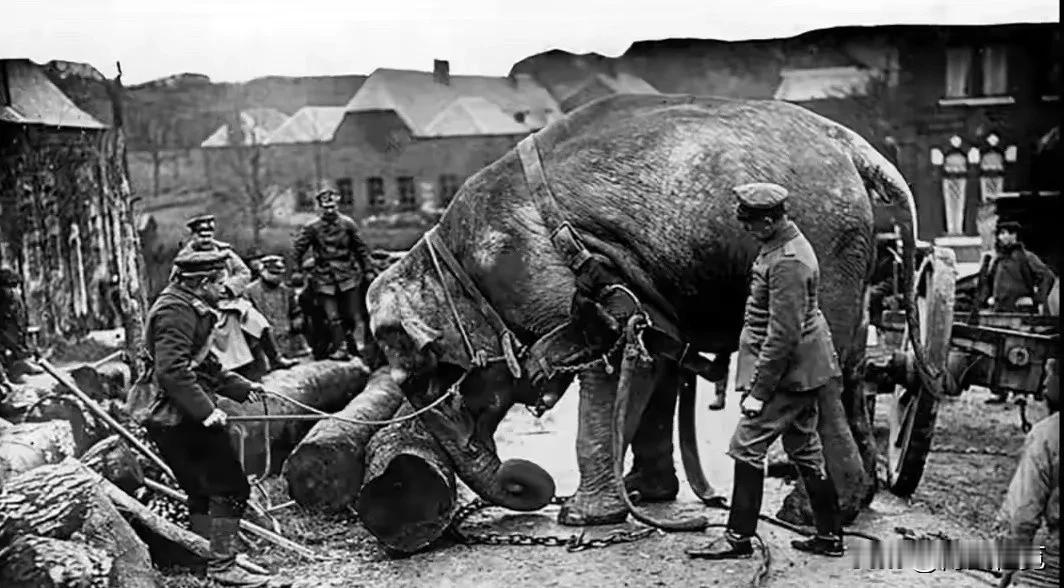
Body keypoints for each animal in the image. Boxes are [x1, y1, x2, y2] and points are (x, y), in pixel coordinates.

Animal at [363, 93, 923, 527]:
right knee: (851, 364)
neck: (448, 258)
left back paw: (810, 513)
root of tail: (853, 146)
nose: (528, 485)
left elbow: (608, 357)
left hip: (822, 242)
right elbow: (658, 350)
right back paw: (854, 501)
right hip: (849, 256)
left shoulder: (553, 276)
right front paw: (643, 493)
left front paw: (584, 517)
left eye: (430, 379)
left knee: (817, 370)